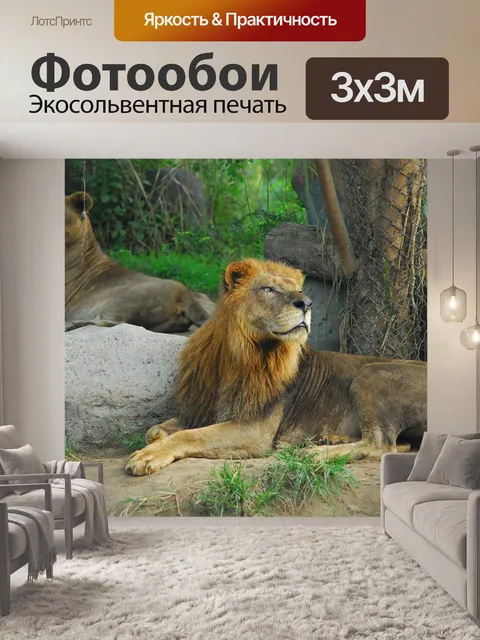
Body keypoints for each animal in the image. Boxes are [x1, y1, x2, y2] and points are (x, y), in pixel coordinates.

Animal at [125, 258, 427, 476]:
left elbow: (191, 436)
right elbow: (157, 430)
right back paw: (329, 440)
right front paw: (155, 440)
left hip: (370, 372)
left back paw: (313, 453)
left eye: (300, 291)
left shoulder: (255, 428)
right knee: (401, 444)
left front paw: (147, 456)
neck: (240, 355)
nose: (306, 303)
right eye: (268, 289)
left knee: (381, 445)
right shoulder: (204, 408)